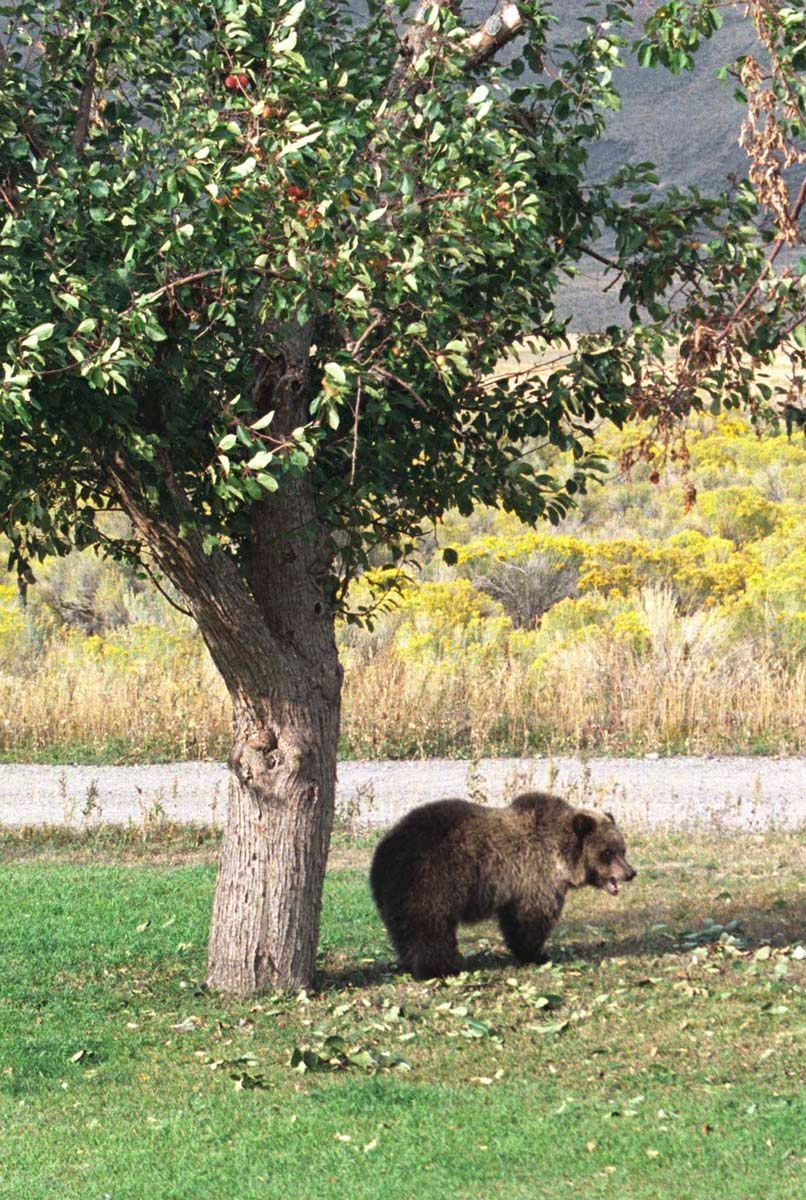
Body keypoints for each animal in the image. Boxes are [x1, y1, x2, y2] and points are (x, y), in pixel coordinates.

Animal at [369, 791, 636, 979]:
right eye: (608, 852)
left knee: (405, 930)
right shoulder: (535, 877)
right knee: (430, 927)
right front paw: (538, 954)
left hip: (399, 893)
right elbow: (530, 920)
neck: (561, 856)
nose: (630, 872)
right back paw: (438, 969)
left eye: (622, 849)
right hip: (431, 880)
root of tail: (385, 851)